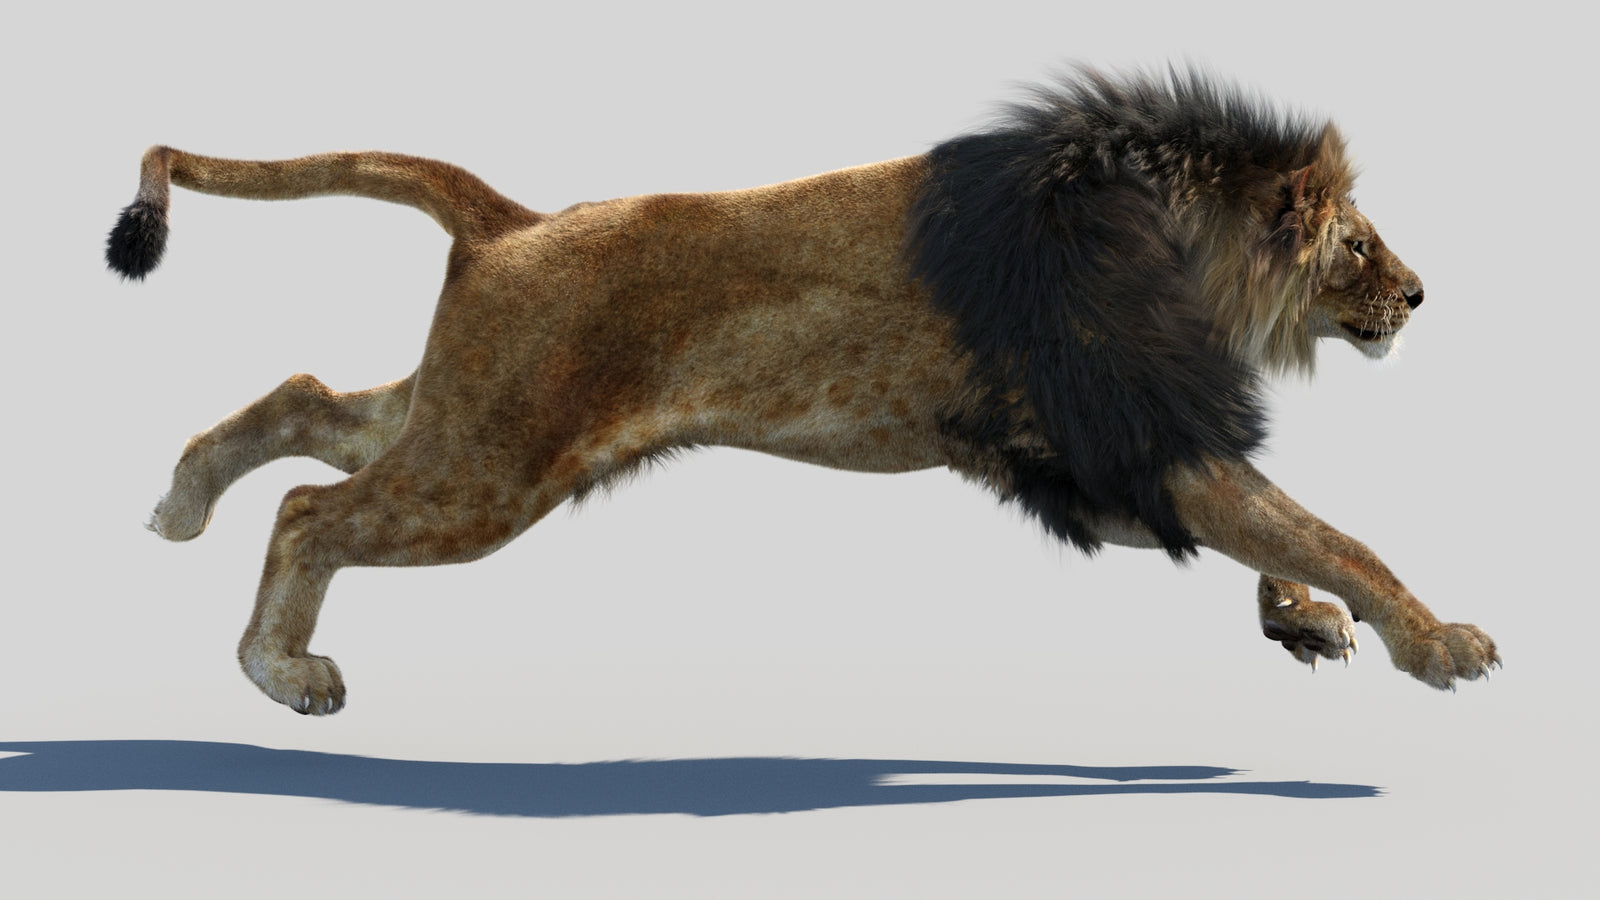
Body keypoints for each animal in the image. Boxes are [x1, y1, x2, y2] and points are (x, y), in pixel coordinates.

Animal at [107, 69, 1498, 716]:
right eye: (1359, 245)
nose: (1421, 294)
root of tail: (517, 222)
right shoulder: (1127, 436)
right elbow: (1329, 529)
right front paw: (1438, 643)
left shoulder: (1082, 459)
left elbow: (1274, 535)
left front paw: (1302, 618)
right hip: (489, 470)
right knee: (311, 512)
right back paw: (279, 668)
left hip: (471, 420)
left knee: (305, 403)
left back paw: (178, 503)